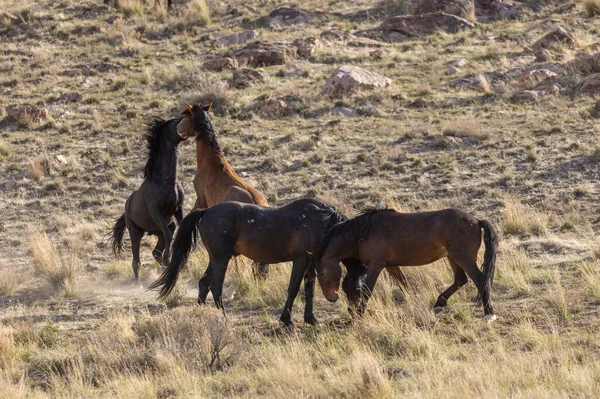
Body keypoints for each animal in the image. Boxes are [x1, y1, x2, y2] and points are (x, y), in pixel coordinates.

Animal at [109, 117, 196, 282]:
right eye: (174, 121)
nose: (186, 118)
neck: (166, 182)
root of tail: (126, 208)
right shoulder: (156, 211)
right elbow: (169, 236)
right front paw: (170, 260)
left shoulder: (178, 209)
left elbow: (179, 231)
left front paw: (180, 261)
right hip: (136, 232)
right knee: (136, 262)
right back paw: (139, 283)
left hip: (159, 230)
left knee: (155, 252)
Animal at [148, 200, 368, 328]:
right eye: (354, 285)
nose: (354, 312)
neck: (321, 222)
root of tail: (207, 211)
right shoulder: (301, 260)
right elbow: (293, 289)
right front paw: (286, 320)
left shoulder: (311, 264)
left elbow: (309, 290)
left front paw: (310, 319)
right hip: (221, 258)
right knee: (216, 286)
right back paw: (222, 317)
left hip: (216, 258)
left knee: (204, 283)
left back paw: (202, 315)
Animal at [312, 208, 500, 324]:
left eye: (320, 273)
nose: (331, 298)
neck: (363, 233)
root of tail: (476, 220)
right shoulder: (391, 266)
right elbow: (404, 285)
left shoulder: (376, 265)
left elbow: (367, 290)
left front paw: (359, 314)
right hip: (453, 257)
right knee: (461, 279)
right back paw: (439, 303)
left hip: (463, 258)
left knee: (480, 280)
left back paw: (489, 314)